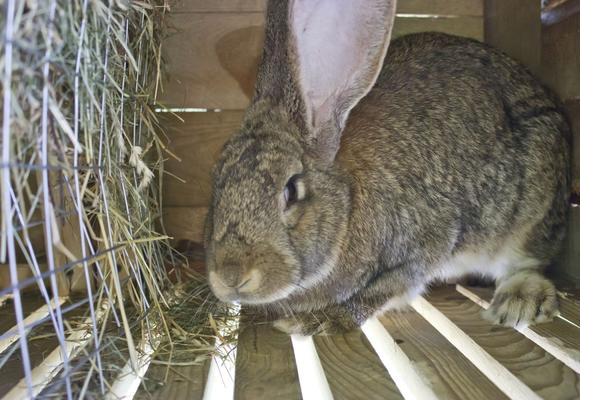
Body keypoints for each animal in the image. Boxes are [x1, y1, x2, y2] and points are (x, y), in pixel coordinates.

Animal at [204, 0, 568, 334]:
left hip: (530, 213)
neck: (348, 207)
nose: (232, 276)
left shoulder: (428, 243)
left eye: (291, 190)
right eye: (215, 185)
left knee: (525, 262)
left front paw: (316, 321)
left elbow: (379, 292)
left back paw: (519, 302)